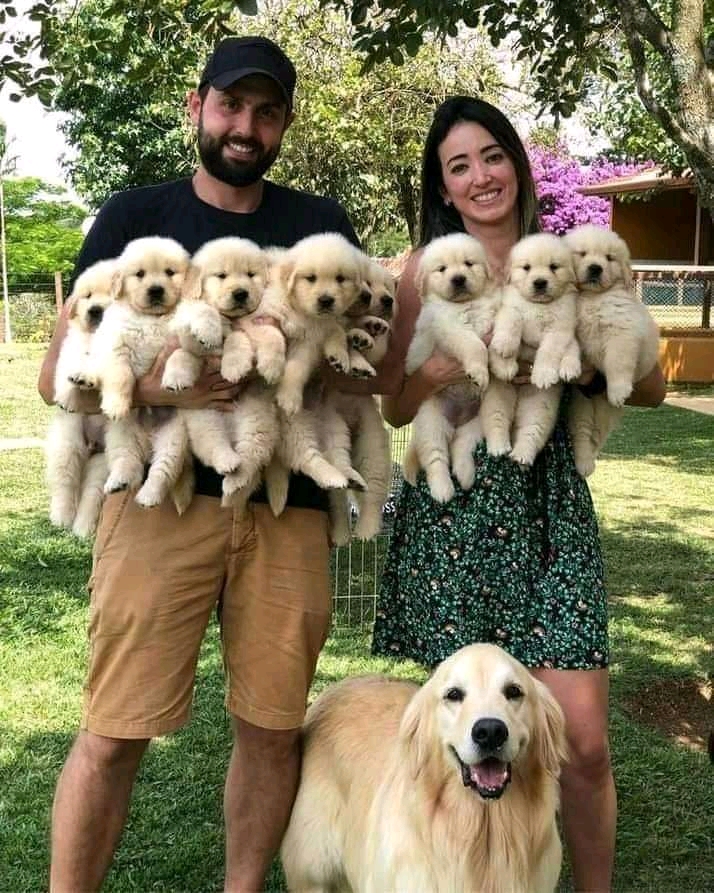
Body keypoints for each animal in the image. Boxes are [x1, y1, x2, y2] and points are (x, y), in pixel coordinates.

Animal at [44, 258, 114, 536]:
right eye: (88, 295)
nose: (95, 310)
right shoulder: (70, 351)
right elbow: (72, 365)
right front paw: (73, 388)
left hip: (102, 462)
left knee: (91, 494)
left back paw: (81, 528)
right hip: (67, 442)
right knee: (65, 483)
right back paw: (62, 517)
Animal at [400, 233, 496, 502]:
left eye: (468, 264)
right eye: (442, 269)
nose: (458, 279)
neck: (466, 305)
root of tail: (456, 420)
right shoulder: (449, 327)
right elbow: (475, 345)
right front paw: (479, 372)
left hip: (478, 419)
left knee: (461, 445)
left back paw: (465, 475)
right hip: (430, 418)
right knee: (435, 457)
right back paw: (443, 489)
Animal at [482, 230, 580, 466]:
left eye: (554, 267)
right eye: (526, 267)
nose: (540, 282)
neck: (539, 306)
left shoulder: (559, 329)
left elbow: (549, 351)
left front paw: (543, 374)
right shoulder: (510, 309)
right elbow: (510, 325)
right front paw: (504, 355)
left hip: (540, 407)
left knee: (531, 431)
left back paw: (521, 455)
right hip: (496, 396)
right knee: (496, 420)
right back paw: (499, 447)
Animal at [560, 225, 656, 474]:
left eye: (609, 258)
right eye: (582, 254)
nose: (596, 268)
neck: (591, 297)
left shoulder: (622, 333)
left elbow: (617, 363)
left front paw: (619, 390)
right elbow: (569, 347)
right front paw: (568, 367)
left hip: (603, 411)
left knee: (597, 436)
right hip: (581, 405)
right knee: (583, 433)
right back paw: (584, 462)